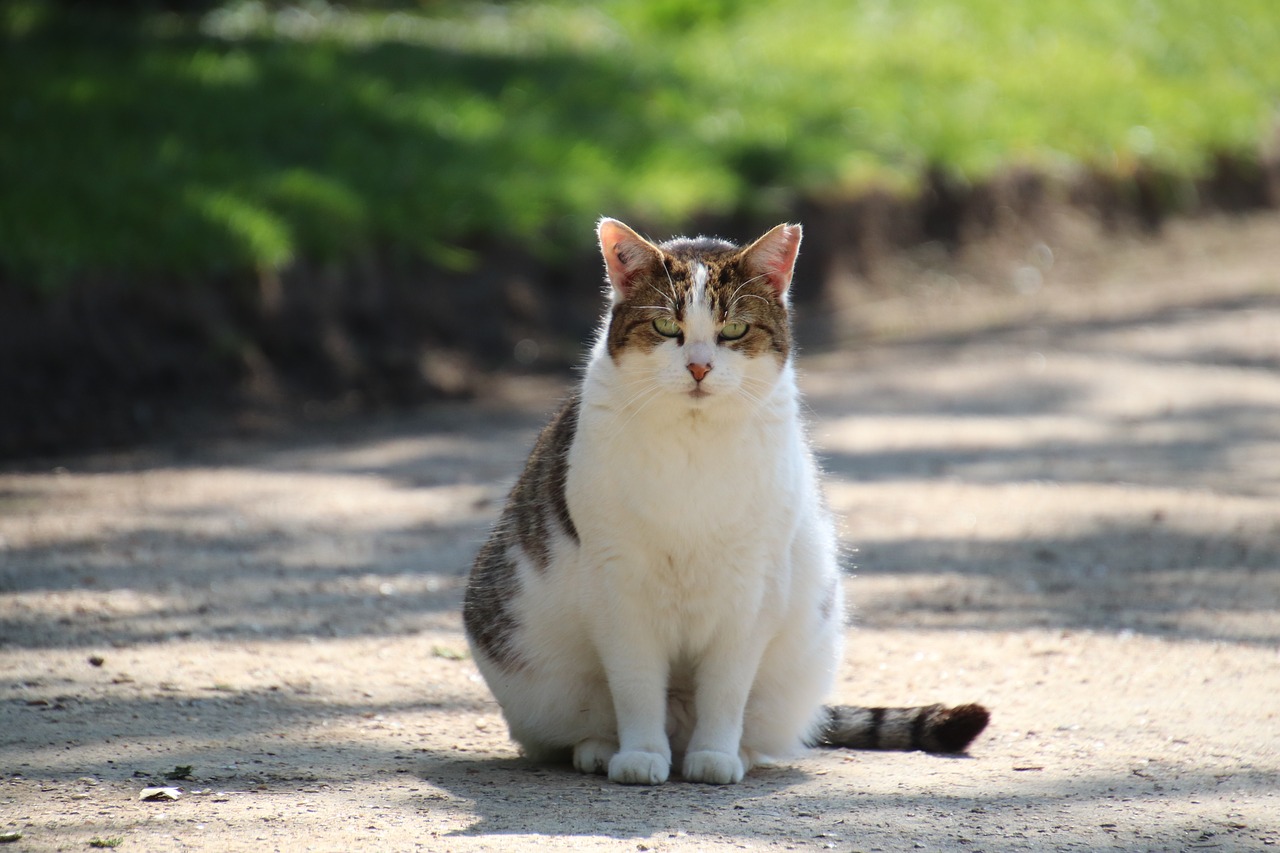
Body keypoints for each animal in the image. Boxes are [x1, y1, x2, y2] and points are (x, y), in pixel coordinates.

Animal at [463, 216, 988, 778]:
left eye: (733, 330)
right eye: (665, 328)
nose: (698, 367)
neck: (696, 443)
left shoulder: (752, 586)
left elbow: (727, 685)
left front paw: (715, 755)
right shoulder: (618, 583)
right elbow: (635, 683)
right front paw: (640, 755)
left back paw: (741, 752)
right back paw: (601, 748)